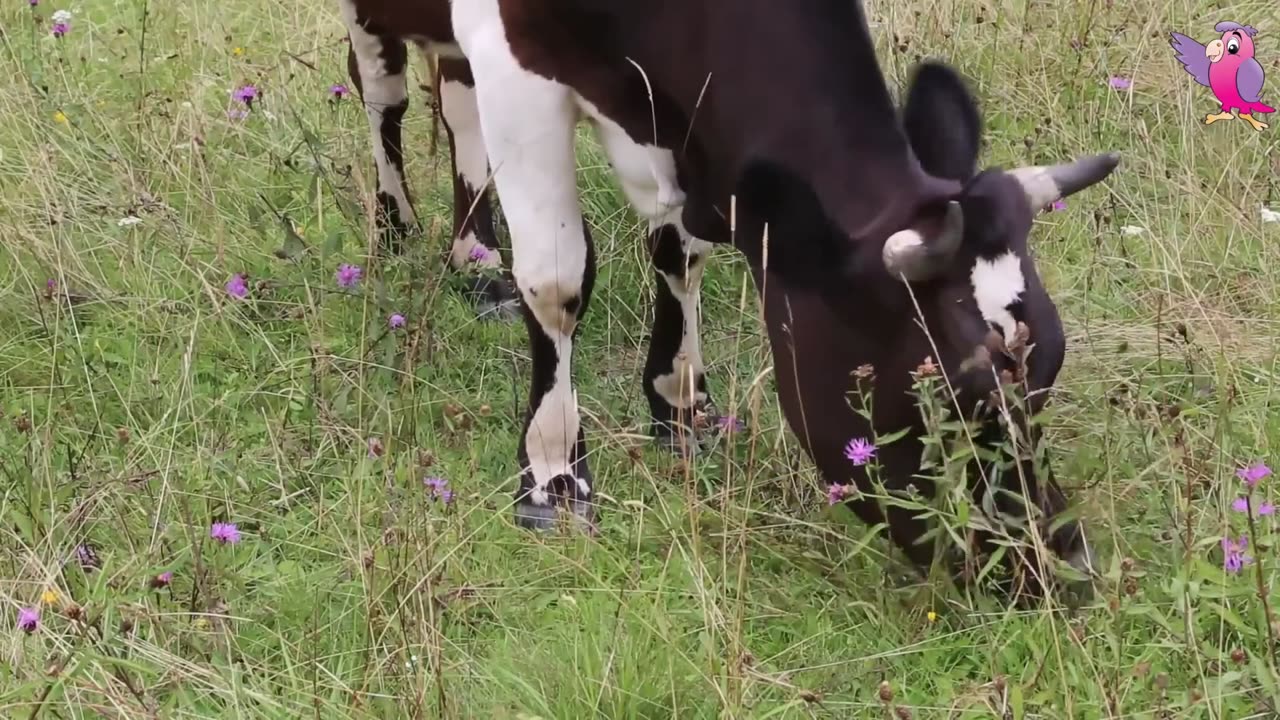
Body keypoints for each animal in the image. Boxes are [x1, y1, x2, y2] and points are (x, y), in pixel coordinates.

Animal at [340, 0, 1121, 597]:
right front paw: (553, 478)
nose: (1060, 568)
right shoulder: (515, 60)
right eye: (952, 394)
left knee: (453, 96)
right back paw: (396, 222)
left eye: (1050, 366)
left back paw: (476, 258)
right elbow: (558, 283)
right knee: (383, 86)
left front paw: (682, 407)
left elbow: (678, 252)